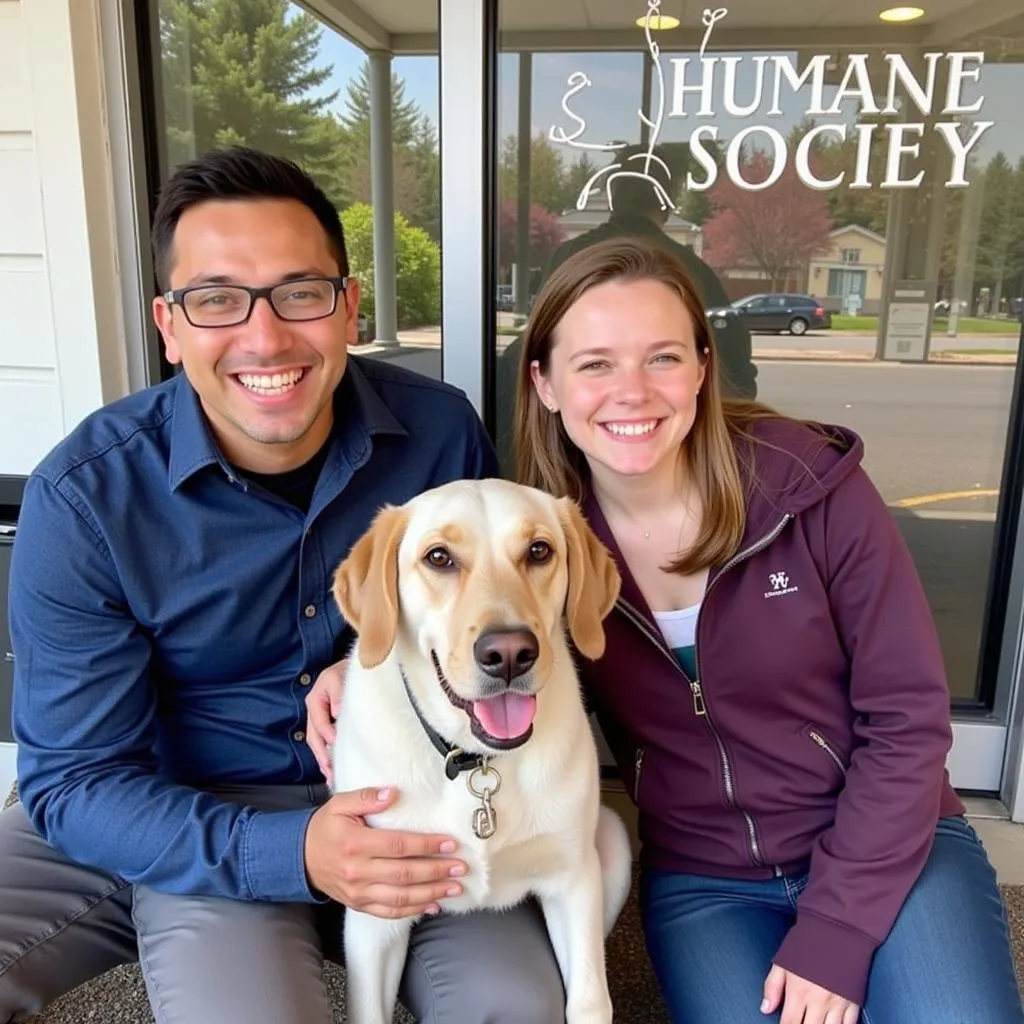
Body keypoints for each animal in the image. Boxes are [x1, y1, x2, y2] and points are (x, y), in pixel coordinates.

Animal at [329, 477, 630, 1024]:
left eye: (539, 551)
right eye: (439, 557)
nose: (508, 654)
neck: (477, 761)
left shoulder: (574, 884)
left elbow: (590, 1000)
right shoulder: (375, 915)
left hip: (612, 845)